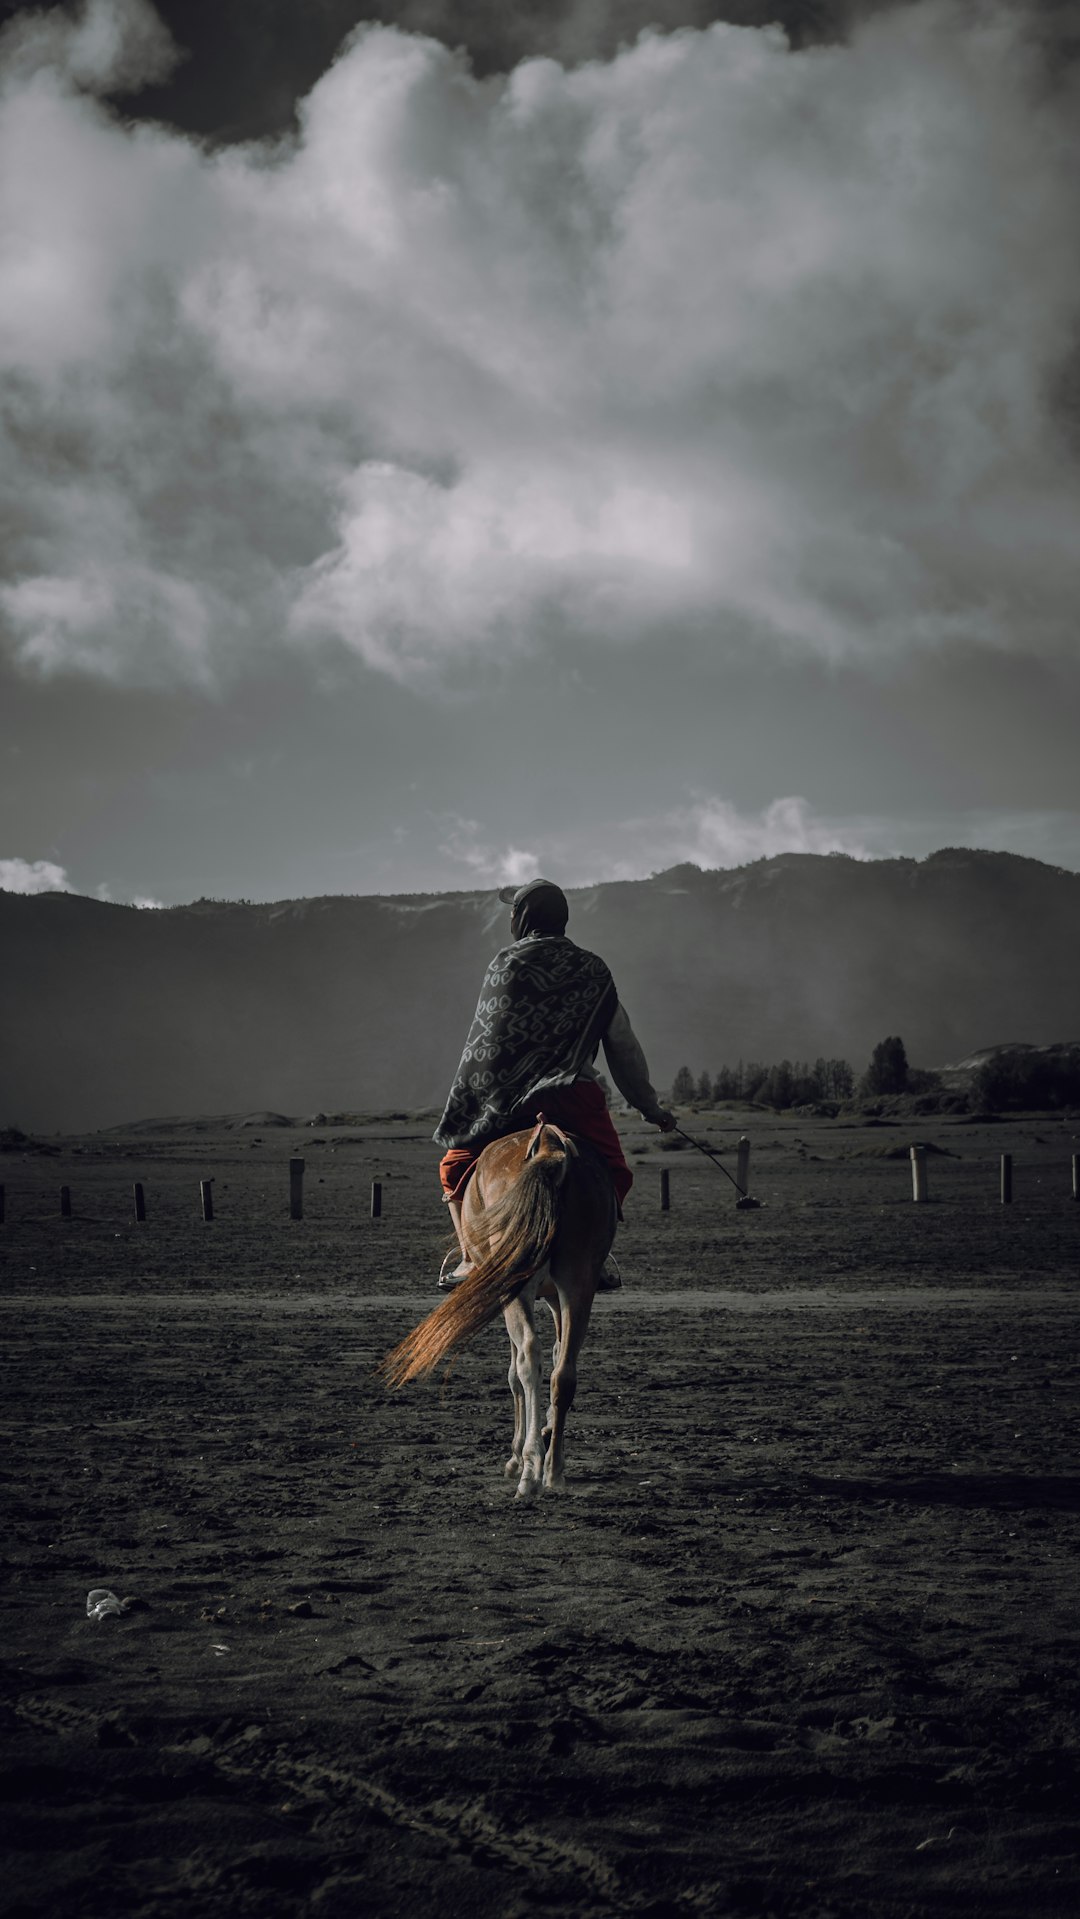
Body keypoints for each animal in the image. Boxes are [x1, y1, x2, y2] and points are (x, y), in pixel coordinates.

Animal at [377, 1120, 617, 1504]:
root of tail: (549, 1145)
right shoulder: (556, 1296)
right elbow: (556, 1356)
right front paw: (547, 1432)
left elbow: (514, 1372)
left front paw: (517, 1457)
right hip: (578, 1278)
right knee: (564, 1372)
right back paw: (554, 1469)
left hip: (516, 1286)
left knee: (528, 1360)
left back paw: (531, 1470)